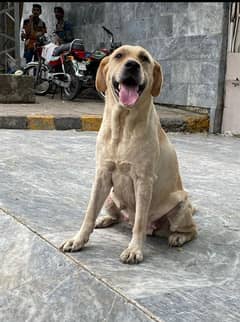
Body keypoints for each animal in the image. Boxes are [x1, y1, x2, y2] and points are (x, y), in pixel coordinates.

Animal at [60, 44, 197, 262]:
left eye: (144, 59)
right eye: (119, 55)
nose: (132, 65)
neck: (123, 125)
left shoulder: (143, 180)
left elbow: (140, 221)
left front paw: (134, 249)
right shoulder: (102, 175)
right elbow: (89, 212)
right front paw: (78, 240)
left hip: (181, 205)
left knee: (191, 229)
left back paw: (178, 237)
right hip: (110, 197)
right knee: (117, 216)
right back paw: (105, 219)